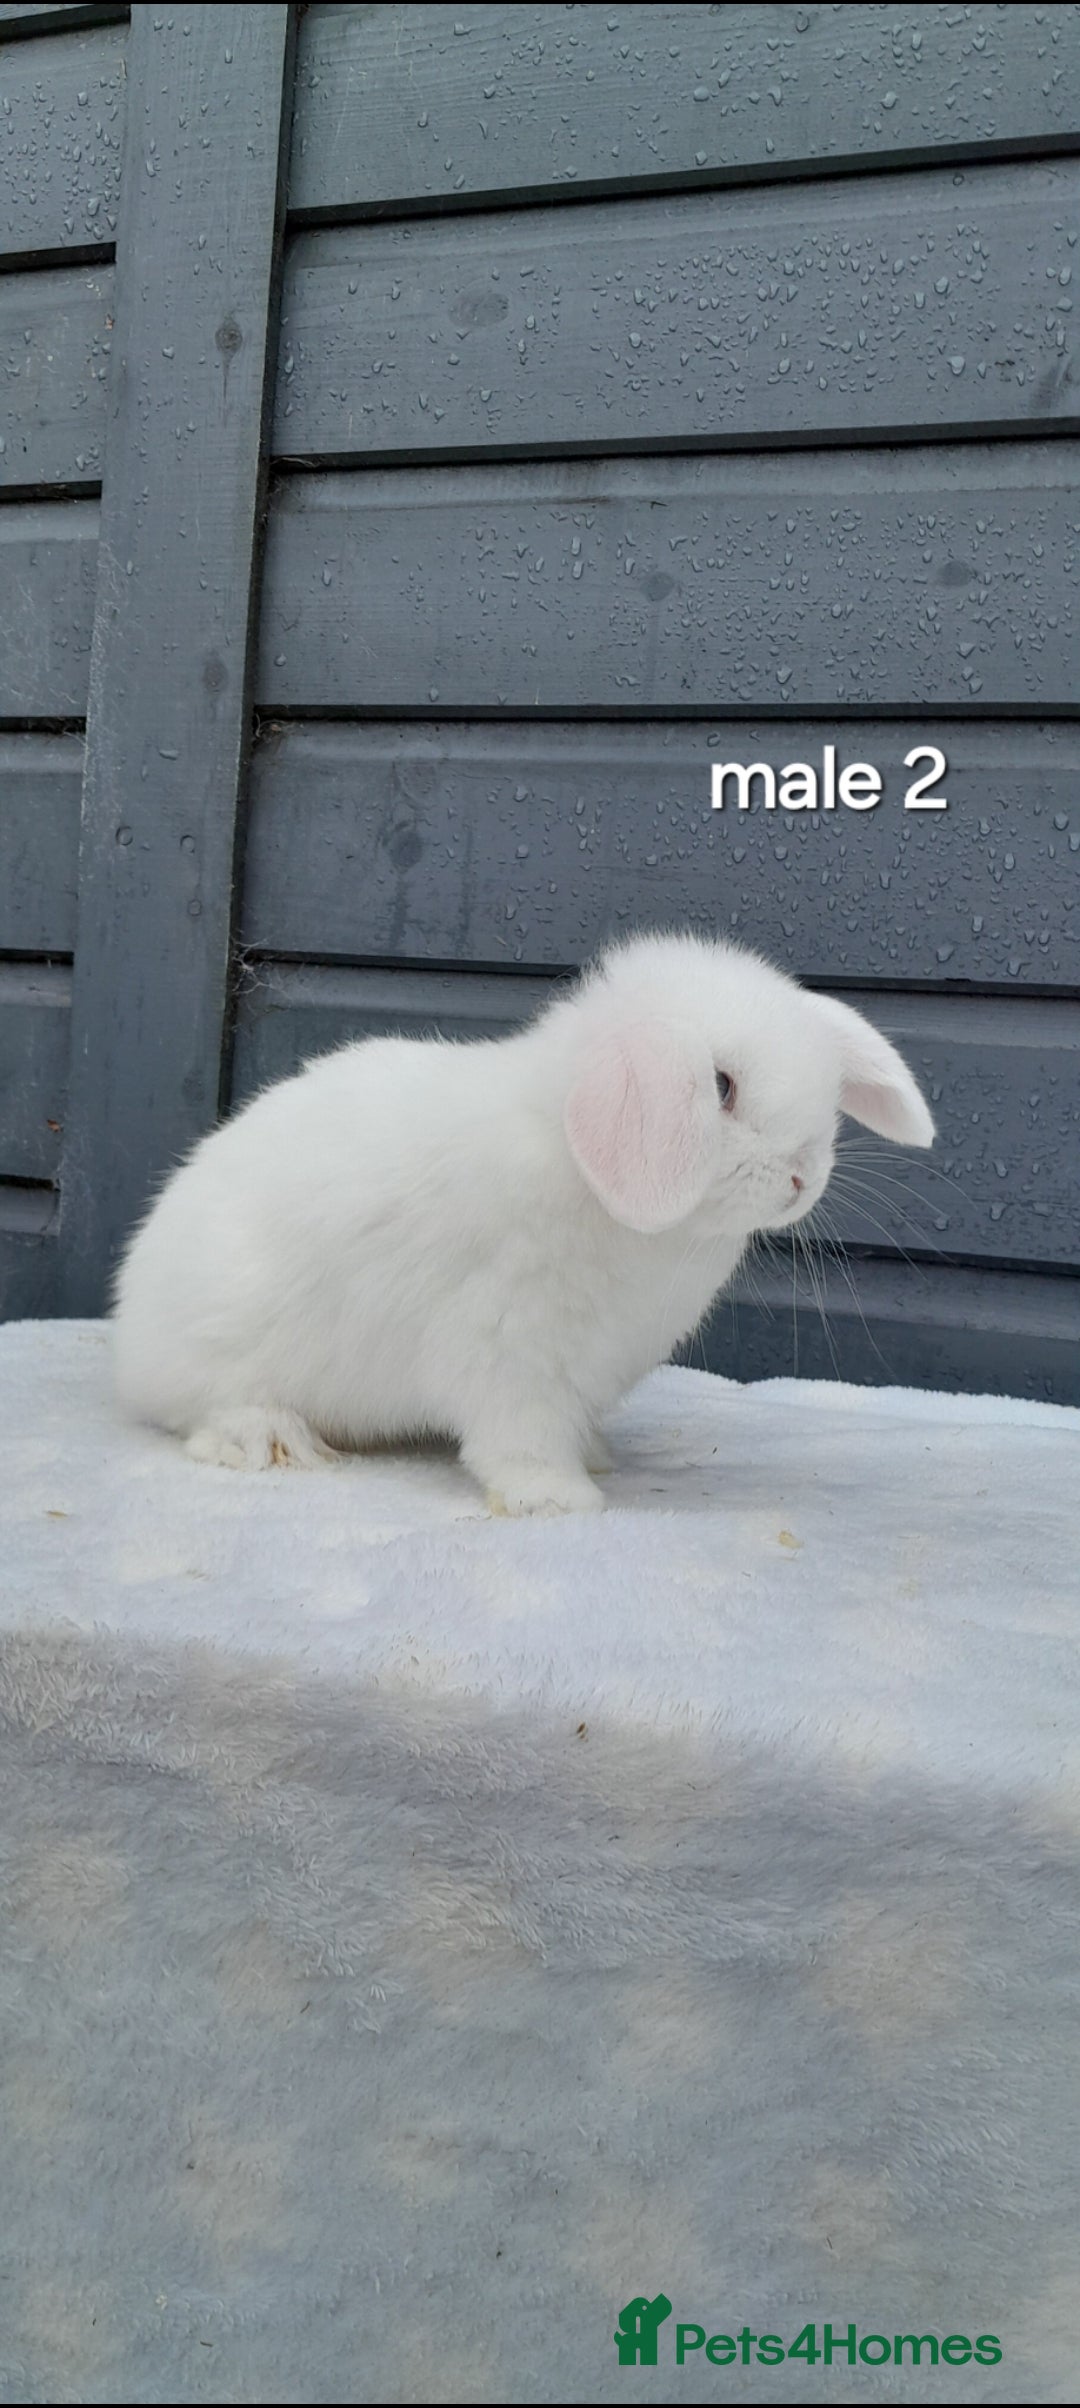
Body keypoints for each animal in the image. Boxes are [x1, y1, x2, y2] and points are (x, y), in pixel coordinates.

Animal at [112, 931, 934, 1515]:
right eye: (721, 1087)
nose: (803, 1176)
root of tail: (130, 1321)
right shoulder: (507, 1348)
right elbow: (521, 1436)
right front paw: (558, 1499)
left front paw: (596, 1456)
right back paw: (269, 1436)